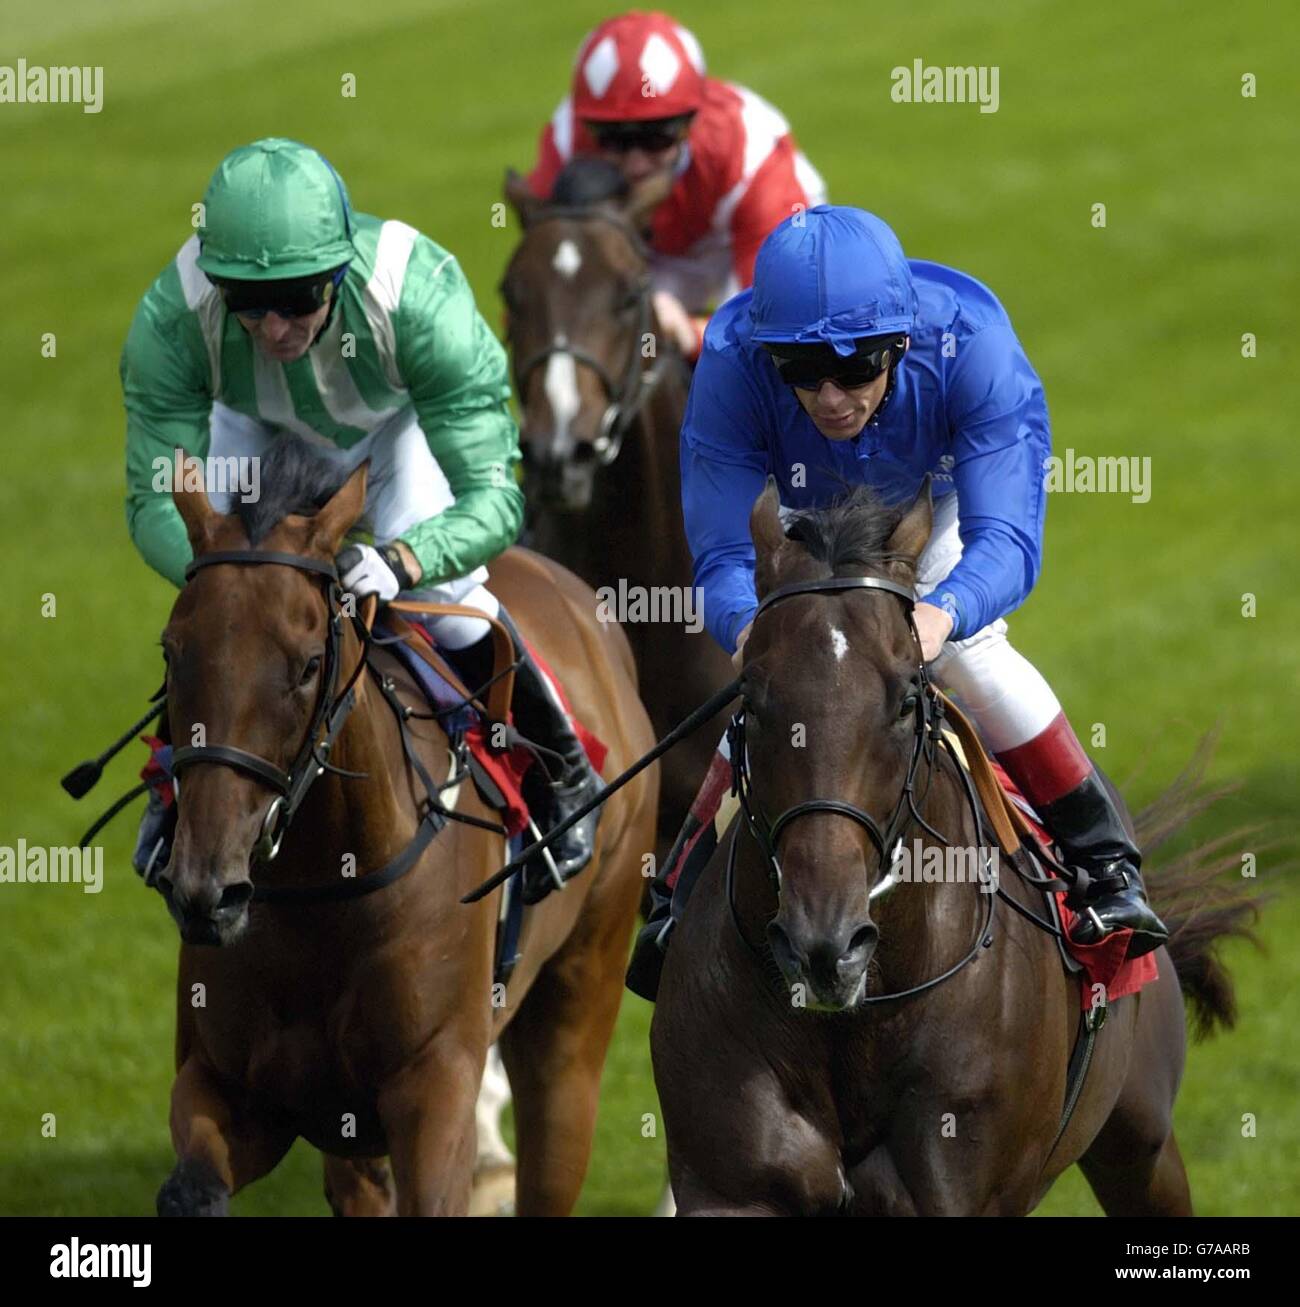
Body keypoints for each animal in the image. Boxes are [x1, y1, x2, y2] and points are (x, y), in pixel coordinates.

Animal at [153, 449, 655, 1212]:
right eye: (172, 652)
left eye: (308, 664)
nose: (207, 890)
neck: (325, 893)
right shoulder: (233, 1086)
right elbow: (192, 1188)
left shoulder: (435, 1086)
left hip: (579, 1000)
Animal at [650, 486, 1259, 1218]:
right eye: (754, 696)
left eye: (905, 700)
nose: (824, 944)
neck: (860, 1016)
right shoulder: (731, 1186)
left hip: (1142, 1145)